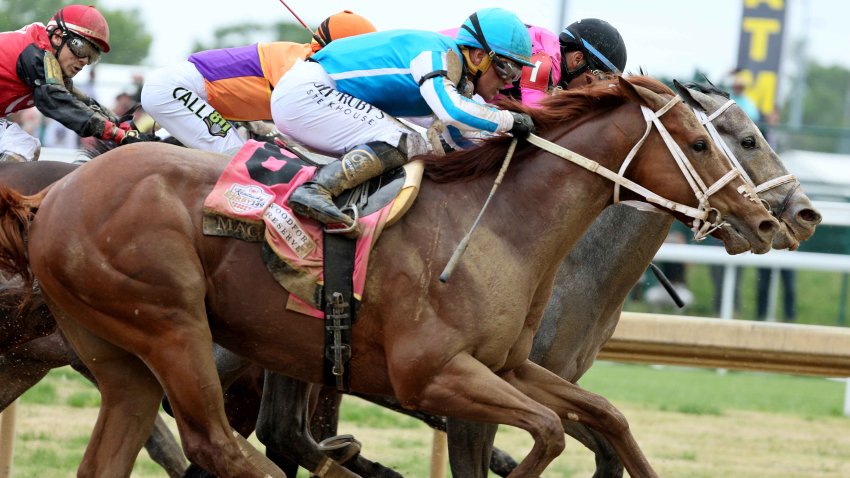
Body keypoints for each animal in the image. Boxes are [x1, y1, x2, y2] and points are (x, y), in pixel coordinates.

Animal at [1, 76, 780, 476]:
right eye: (707, 141)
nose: (777, 220)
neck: (500, 223)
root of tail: (51, 199)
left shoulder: (508, 365)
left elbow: (602, 418)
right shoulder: (433, 374)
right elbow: (548, 433)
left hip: (112, 355)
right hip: (170, 326)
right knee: (214, 445)